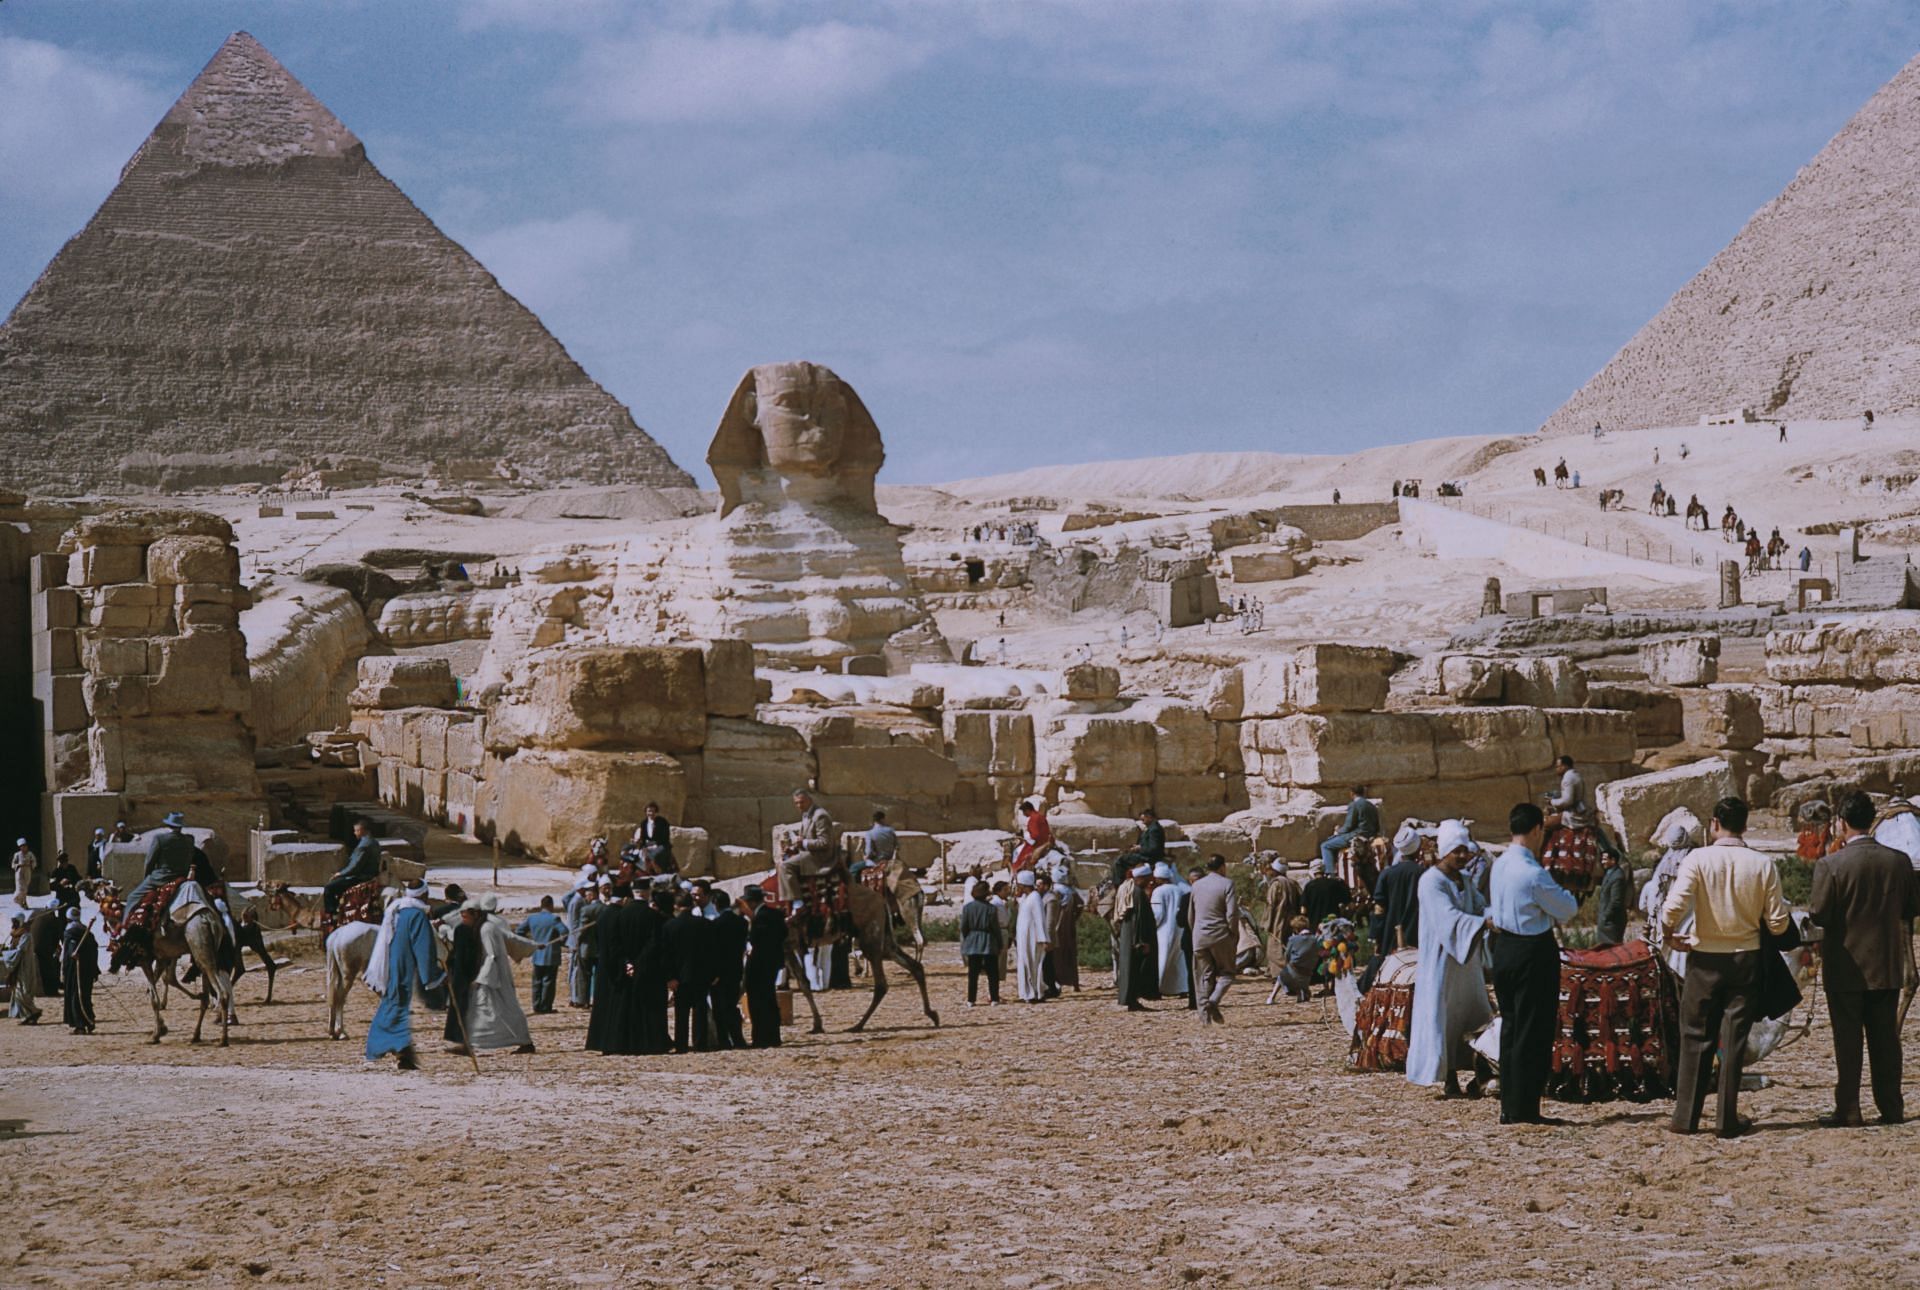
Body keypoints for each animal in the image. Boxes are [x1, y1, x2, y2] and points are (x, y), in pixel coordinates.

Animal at [783, 871, 940, 1036]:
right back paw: (932, 1014)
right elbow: (804, 983)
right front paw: (817, 1025)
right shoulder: (787, 947)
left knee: (882, 983)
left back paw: (858, 1025)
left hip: (871, 936)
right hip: (884, 941)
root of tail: (881, 900)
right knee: (914, 965)